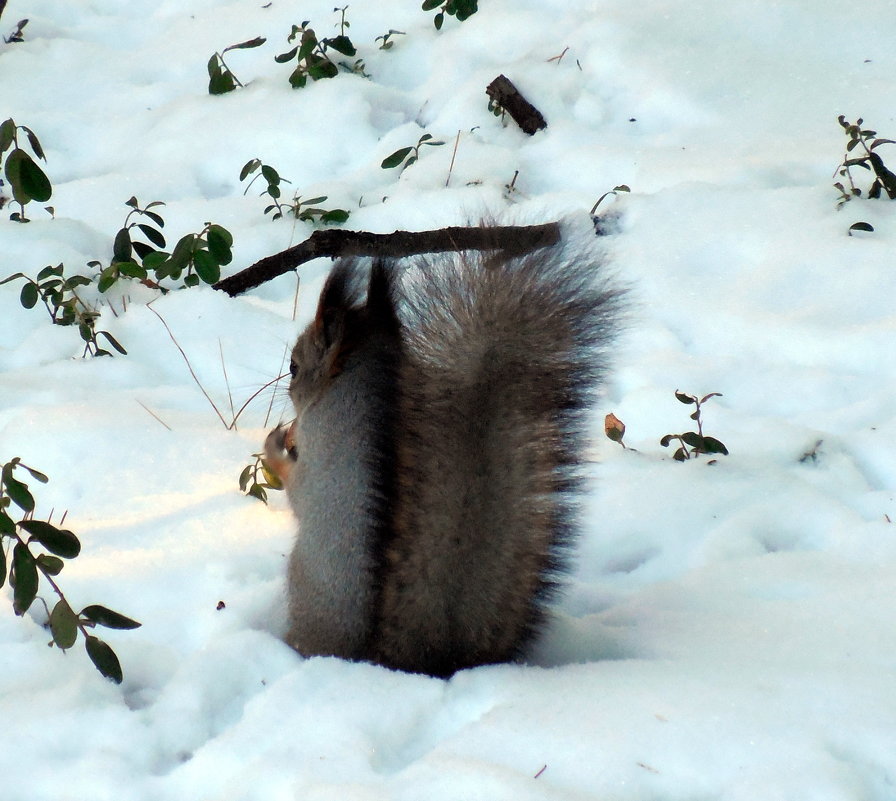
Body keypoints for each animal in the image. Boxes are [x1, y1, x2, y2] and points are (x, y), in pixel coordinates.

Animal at [266, 223, 624, 676]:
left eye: (294, 366)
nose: (287, 392)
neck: (355, 388)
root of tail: (376, 658)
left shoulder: (318, 462)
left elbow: (295, 486)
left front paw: (274, 443)